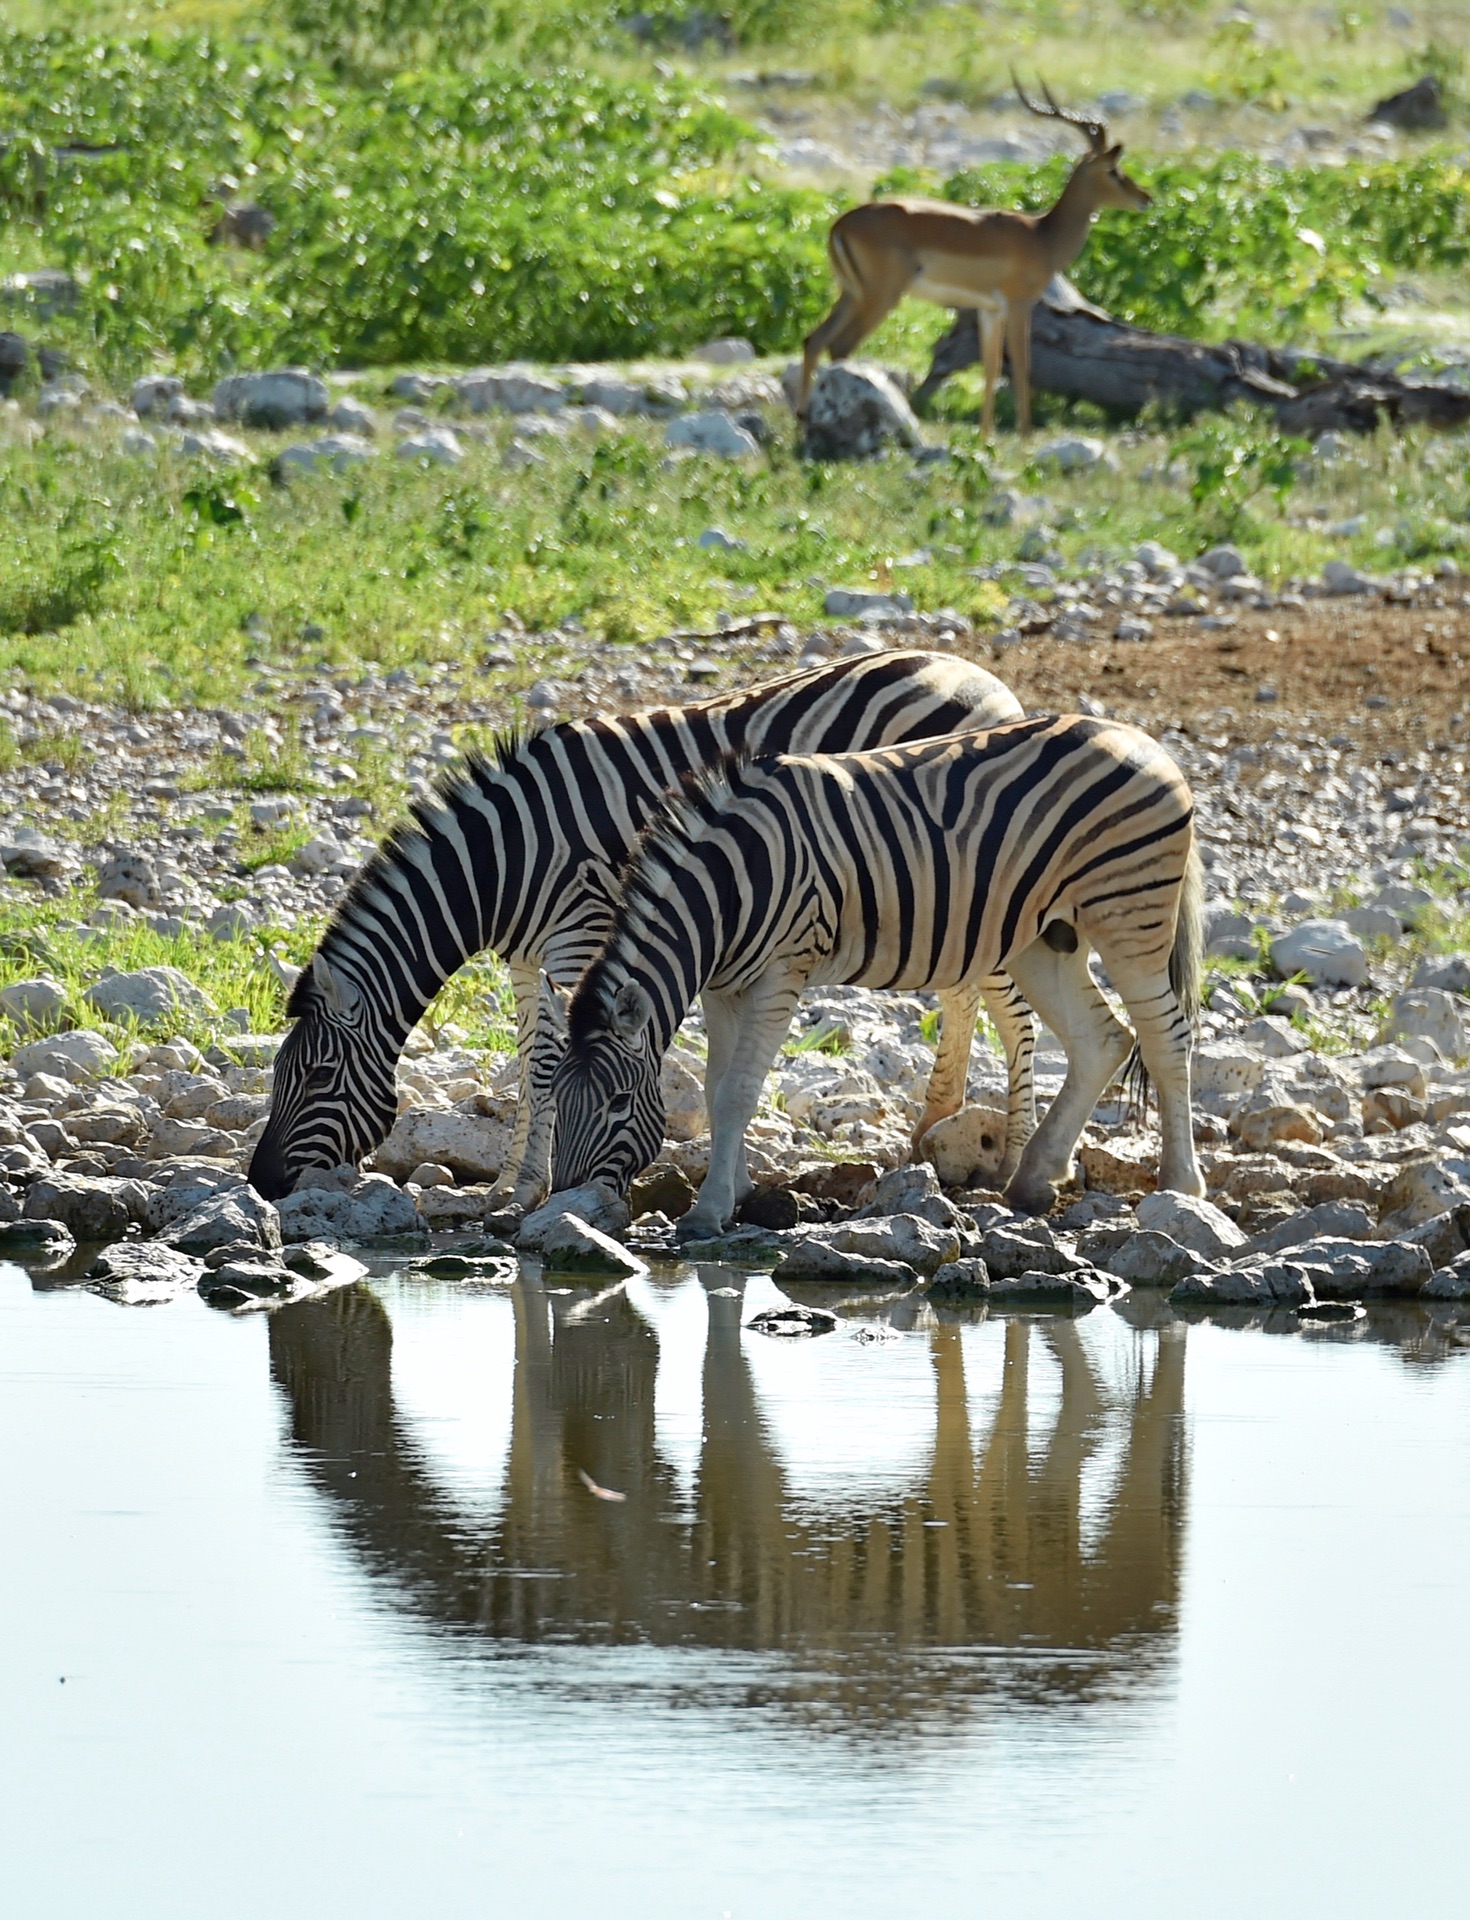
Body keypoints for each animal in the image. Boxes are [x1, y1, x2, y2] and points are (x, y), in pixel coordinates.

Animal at [247, 652, 1036, 1205]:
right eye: (279, 1074)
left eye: (316, 1076)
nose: (259, 1181)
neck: (505, 861)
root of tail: (990, 682)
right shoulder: (527, 959)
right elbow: (529, 1065)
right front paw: (510, 1185)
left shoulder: (584, 938)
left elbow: (553, 1061)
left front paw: (534, 1188)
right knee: (963, 990)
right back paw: (936, 1127)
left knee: (1013, 1010)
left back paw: (1014, 1162)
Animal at [552, 714, 1212, 1236]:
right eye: (554, 1099)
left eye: (617, 1103)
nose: (567, 1208)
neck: (726, 891)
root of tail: (1141, 738)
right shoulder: (723, 988)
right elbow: (716, 1090)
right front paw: (734, 1190)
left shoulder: (781, 973)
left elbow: (738, 1091)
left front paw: (709, 1210)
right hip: (1046, 937)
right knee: (1103, 1039)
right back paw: (1032, 1179)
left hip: (1129, 913)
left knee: (1165, 1037)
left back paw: (1181, 1186)